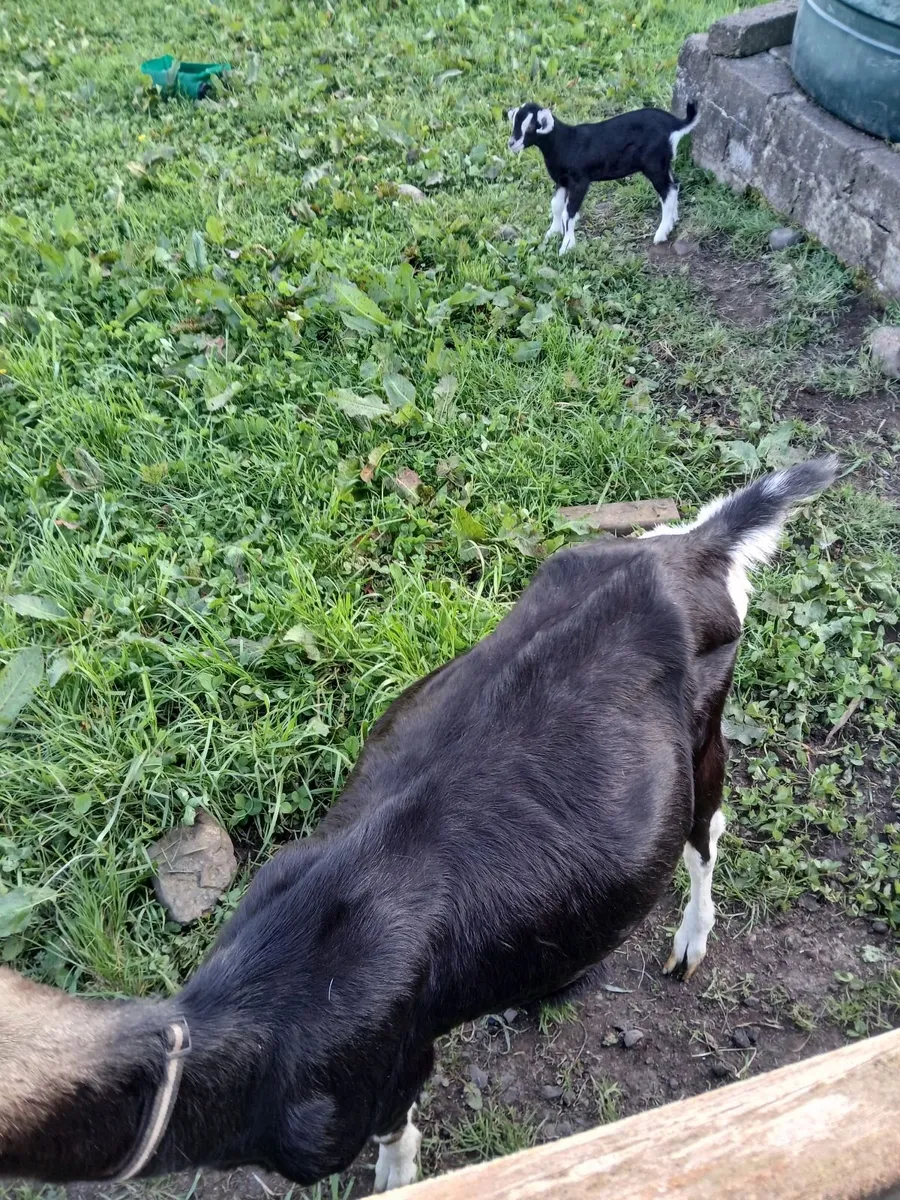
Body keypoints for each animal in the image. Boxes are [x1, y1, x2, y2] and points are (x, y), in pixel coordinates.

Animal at [0, 458, 836, 1192]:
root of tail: (691, 550)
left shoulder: (387, 1070)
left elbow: (395, 1131)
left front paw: (396, 1178)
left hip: (704, 737)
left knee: (707, 832)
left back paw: (688, 943)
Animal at [507, 101, 699, 253]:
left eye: (531, 127)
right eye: (514, 122)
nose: (512, 143)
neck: (566, 143)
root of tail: (674, 123)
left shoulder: (579, 181)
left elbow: (568, 213)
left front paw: (567, 246)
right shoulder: (562, 181)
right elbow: (556, 206)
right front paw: (552, 233)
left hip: (654, 164)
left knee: (668, 190)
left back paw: (661, 233)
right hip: (664, 163)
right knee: (674, 185)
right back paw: (673, 220)